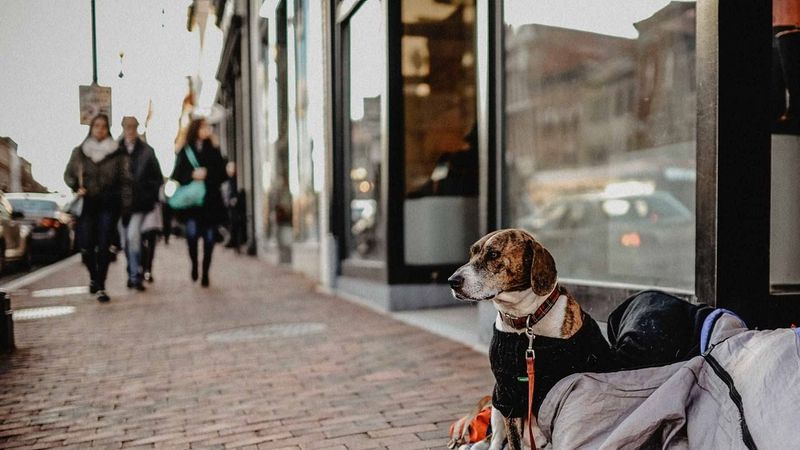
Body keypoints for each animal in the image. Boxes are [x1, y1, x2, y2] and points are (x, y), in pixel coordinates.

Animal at [450, 230, 612, 448]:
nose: (452, 281)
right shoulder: (508, 395)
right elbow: (513, 441)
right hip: (496, 405)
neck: (526, 320)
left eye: (493, 254)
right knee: (495, 441)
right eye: (472, 253)